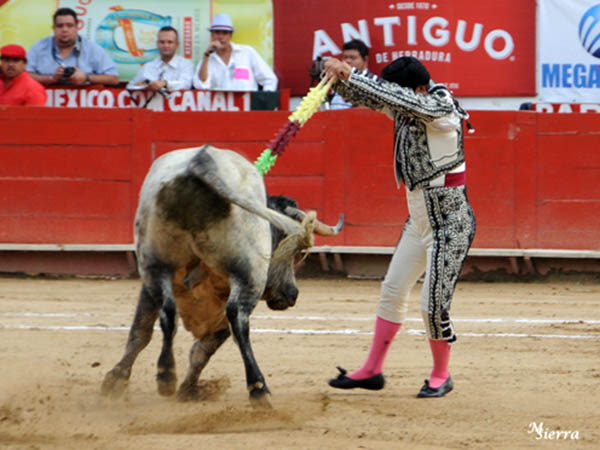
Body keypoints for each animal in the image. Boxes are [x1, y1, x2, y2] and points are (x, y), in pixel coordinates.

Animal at [99, 146, 342, 406]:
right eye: (290, 251)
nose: (292, 294)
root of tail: (202, 162)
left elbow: (181, 344)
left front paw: (182, 388)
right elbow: (181, 341)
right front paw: (118, 379)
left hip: (155, 265)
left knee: (167, 312)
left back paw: (166, 374)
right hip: (247, 275)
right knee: (237, 319)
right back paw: (258, 389)